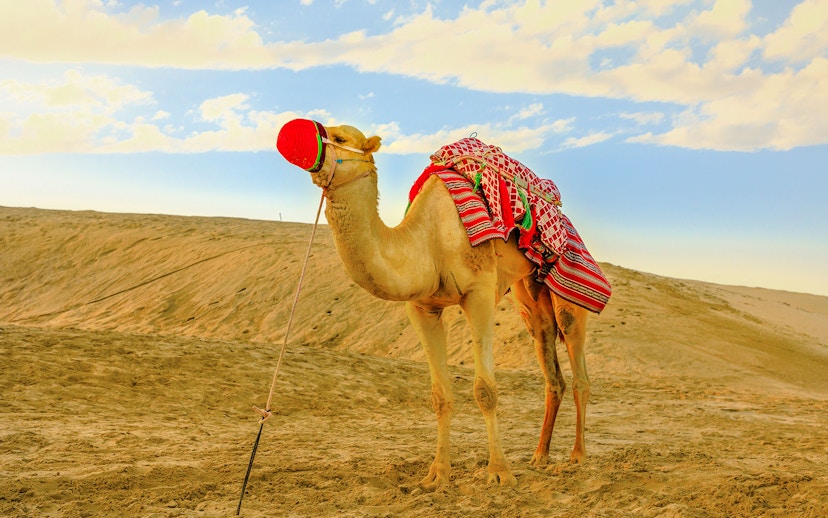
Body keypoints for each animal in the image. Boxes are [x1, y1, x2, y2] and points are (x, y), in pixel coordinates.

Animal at [282, 121, 591, 489]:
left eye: (341, 138)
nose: (295, 134)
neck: (427, 242)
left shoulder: (479, 293)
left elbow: (485, 390)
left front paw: (499, 472)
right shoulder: (421, 308)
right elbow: (440, 396)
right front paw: (437, 475)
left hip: (565, 277)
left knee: (575, 352)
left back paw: (577, 456)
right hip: (528, 291)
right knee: (547, 355)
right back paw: (540, 455)